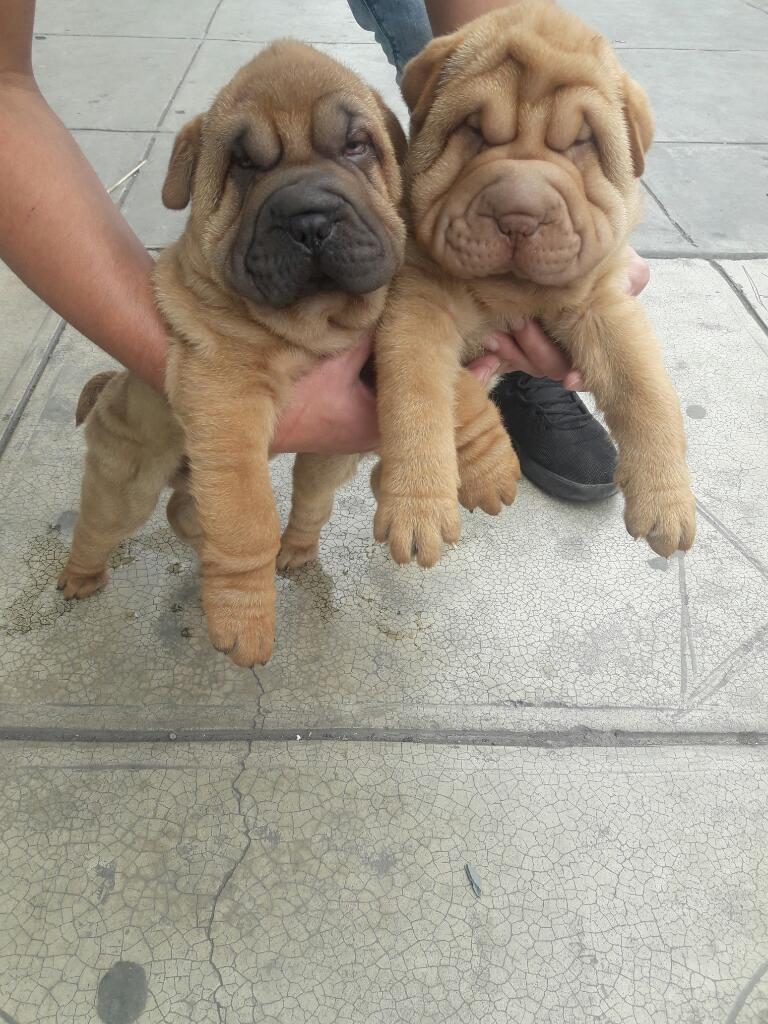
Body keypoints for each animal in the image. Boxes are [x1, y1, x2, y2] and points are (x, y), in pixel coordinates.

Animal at [57, 41, 409, 663]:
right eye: (244, 165)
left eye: (357, 146)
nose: (310, 219)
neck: (312, 323)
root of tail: (108, 388)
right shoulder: (226, 395)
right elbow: (246, 519)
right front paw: (244, 616)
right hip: (126, 482)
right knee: (100, 524)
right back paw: (81, 577)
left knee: (224, 507)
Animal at [372, 0, 696, 565]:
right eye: (473, 130)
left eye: (583, 142)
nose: (518, 216)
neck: (508, 293)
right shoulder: (417, 305)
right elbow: (419, 396)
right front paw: (422, 506)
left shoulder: (603, 304)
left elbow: (647, 391)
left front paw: (668, 500)